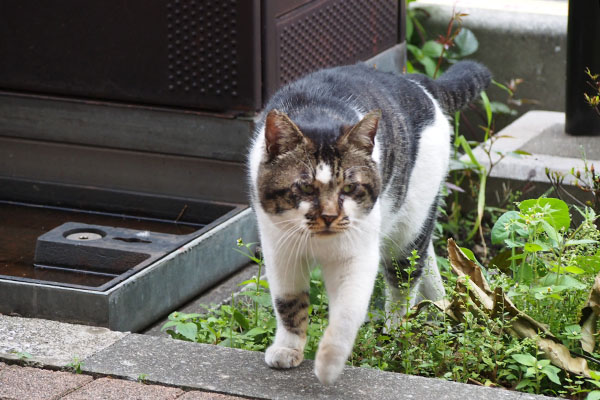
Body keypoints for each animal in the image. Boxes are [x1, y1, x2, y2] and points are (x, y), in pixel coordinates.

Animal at [246, 60, 490, 384]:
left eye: (350, 188)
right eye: (306, 187)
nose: (329, 216)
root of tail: (418, 81)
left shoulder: (357, 256)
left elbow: (347, 312)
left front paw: (329, 363)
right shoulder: (281, 252)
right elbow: (288, 303)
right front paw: (288, 349)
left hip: (409, 226)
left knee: (405, 280)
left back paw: (396, 333)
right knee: (427, 261)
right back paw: (441, 307)